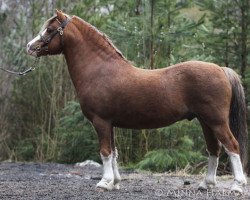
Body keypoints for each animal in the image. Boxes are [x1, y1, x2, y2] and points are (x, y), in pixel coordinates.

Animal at [26, 10, 247, 192]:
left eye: (50, 29)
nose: (30, 46)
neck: (100, 71)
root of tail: (221, 69)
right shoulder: (110, 124)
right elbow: (114, 153)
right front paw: (114, 183)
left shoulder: (100, 121)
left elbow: (105, 152)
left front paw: (104, 183)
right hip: (205, 121)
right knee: (214, 149)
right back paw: (205, 184)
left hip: (216, 121)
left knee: (232, 146)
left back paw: (237, 186)